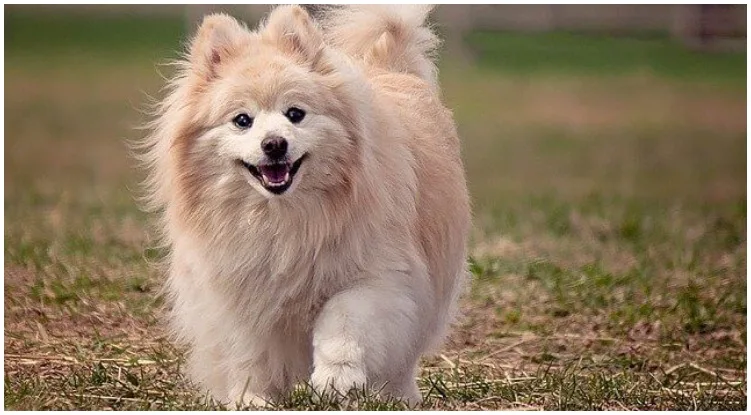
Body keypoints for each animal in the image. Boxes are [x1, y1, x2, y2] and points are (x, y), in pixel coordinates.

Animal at [137, 3, 470, 406]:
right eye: (242, 121)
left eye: (295, 114)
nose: (274, 143)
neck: (283, 219)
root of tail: (391, 66)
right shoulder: (238, 292)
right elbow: (249, 352)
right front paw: (251, 399)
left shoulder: (376, 277)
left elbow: (343, 321)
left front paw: (336, 378)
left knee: (402, 357)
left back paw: (399, 397)